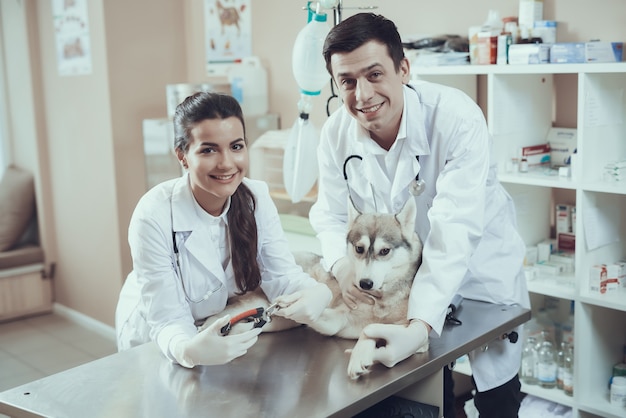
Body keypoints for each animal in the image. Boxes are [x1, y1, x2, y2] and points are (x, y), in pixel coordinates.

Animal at [202, 199, 422, 378]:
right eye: (359, 249)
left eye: (384, 251)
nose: (365, 283)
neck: (379, 300)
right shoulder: (338, 319)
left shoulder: (410, 332)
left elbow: (373, 330)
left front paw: (361, 352)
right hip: (250, 306)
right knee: (212, 322)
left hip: (278, 322)